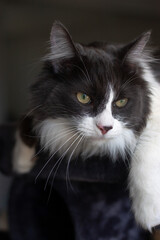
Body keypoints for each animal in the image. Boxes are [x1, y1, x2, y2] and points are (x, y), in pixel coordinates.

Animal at [12, 22, 160, 232]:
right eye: (83, 98)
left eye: (121, 102)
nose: (105, 127)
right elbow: (28, 117)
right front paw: (21, 162)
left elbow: (146, 151)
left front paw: (149, 214)